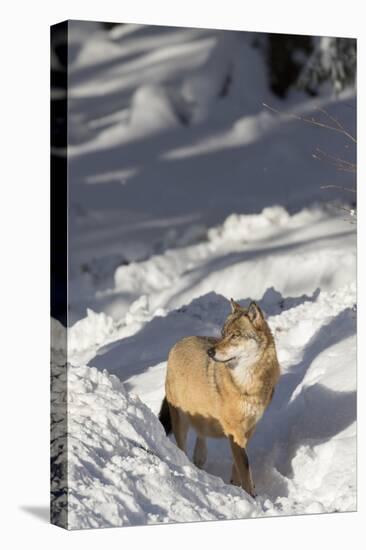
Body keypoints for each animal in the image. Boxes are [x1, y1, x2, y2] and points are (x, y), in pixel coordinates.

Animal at [157, 300, 280, 498]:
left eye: (234, 335)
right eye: (223, 334)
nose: (210, 352)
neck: (248, 384)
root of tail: (179, 342)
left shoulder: (248, 429)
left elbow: (240, 464)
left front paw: (237, 485)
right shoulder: (234, 430)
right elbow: (244, 465)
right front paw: (250, 495)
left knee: (200, 443)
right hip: (180, 422)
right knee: (182, 449)